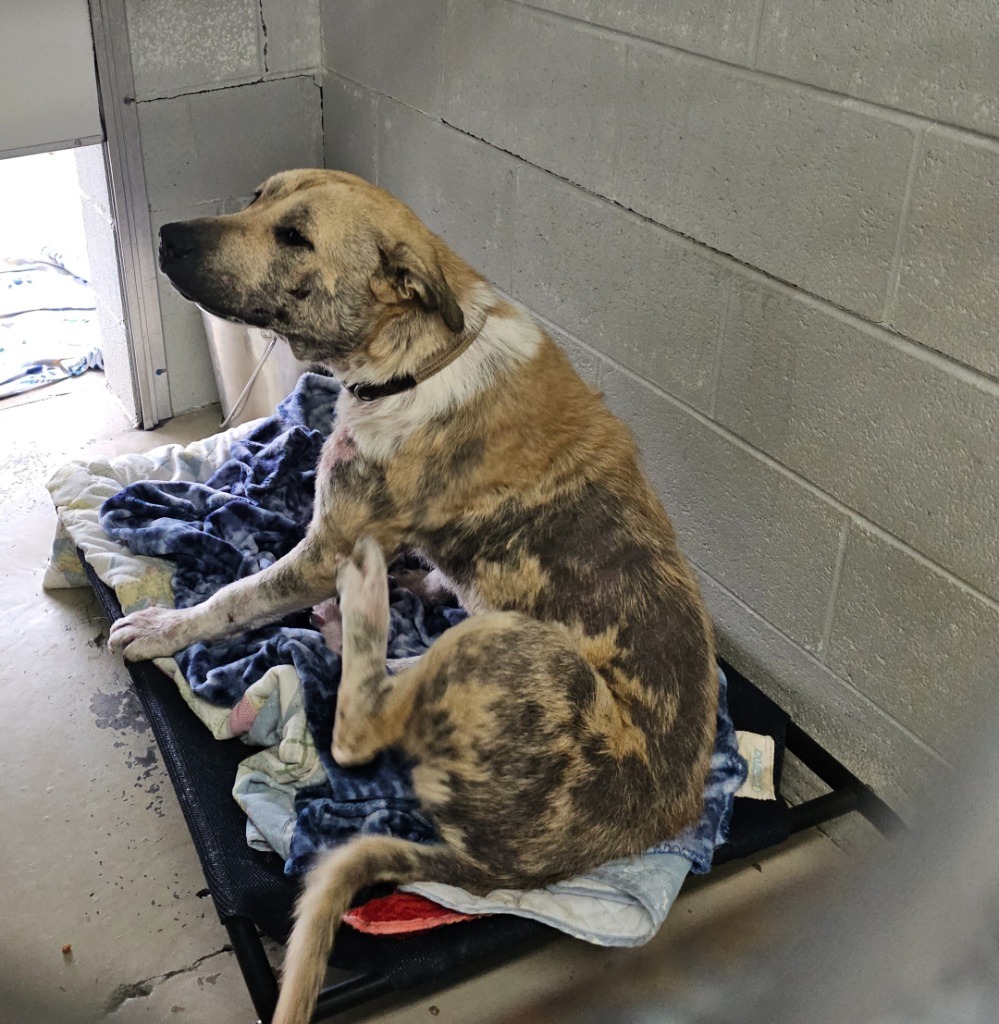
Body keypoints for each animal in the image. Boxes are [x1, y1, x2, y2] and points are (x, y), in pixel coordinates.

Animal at [107, 167, 716, 1024]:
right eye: (256, 196)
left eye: (295, 237)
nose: (166, 236)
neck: (419, 353)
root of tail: (505, 868)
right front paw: (417, 576)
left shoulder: (322, 547)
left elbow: (232, 597)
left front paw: (162, 624)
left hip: (509, 643)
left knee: (359, 729)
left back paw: (361, 607)